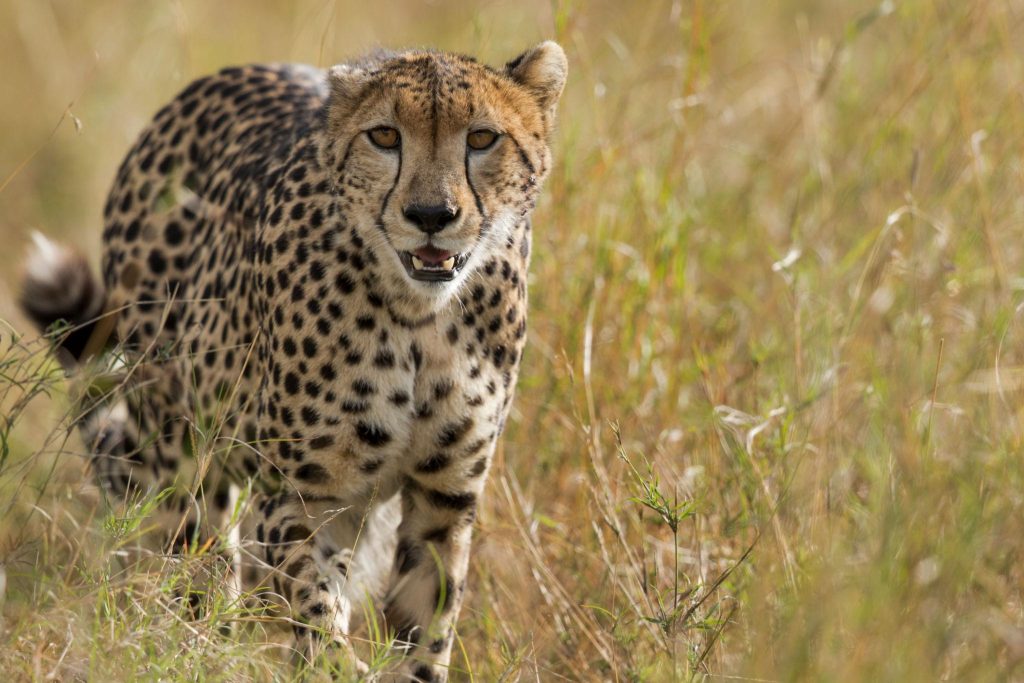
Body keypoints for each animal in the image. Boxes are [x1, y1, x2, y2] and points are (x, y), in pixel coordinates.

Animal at [19, 42, 566, 681]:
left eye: (482, 138)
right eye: (385, 136)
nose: (431, 215)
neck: (422, 321)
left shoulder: (445, 500)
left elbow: (428, 624)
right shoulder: (301, 497)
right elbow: (318, 614)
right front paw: (335, 662)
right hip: (181, 445)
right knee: (194, 560)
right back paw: (199, 643)